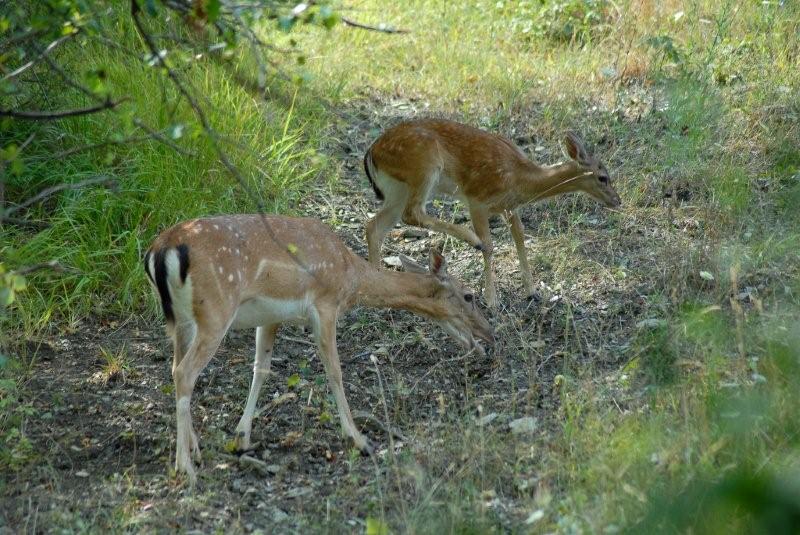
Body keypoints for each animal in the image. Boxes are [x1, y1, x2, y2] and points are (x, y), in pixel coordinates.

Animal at [145, 215, 494, 486]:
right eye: (469, 296)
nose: (487, 334)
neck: (351, 277)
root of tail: (160, 251)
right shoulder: (325, 304)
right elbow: (335, 370)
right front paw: (359, 439)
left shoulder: (270, 316)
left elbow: (262, 369)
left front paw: (242, 437)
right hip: (215, 311)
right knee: (184, 372)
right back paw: (185, 467)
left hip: (181, 320)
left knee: (176, 368)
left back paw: (195, 449)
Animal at [362, 119, 620, 308]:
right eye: (602, 177)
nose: (617, 200)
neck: (520, 179)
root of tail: (372, 152)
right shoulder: (477, 199)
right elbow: (490, 245)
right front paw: (491, 299)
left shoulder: (510, 207)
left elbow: (520, 239)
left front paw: (532, 292)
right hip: (424, 166)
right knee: (412, 213)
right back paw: (471, 239)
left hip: (397, 188)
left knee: (375, 225)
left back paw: (378, 287)